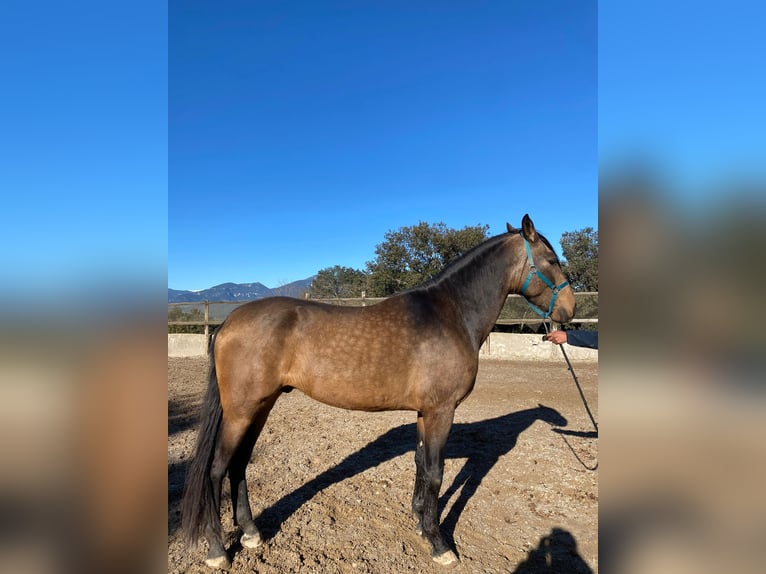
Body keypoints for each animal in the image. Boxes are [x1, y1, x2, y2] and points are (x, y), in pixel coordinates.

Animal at [182, 216, 576, 572]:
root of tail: (228, 322)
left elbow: (421, 465)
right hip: (241, 411)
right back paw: (217, 550)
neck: (451, 314)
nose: (569, 311)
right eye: (552, 260)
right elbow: (436, 473)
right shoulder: (442, 411)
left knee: (239, 464)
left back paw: (251, 533)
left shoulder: (425, 412)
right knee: (216, 469)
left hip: (259, 407)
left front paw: (420, 523)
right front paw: (439, 544)